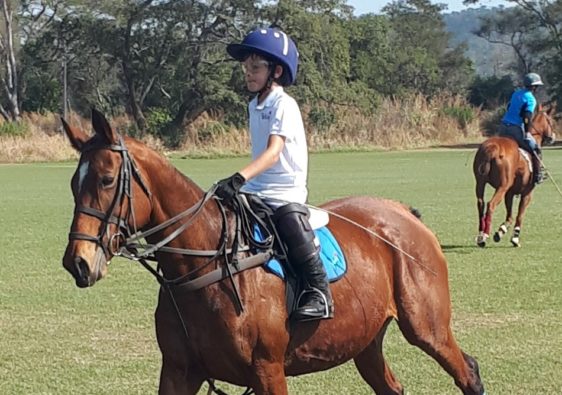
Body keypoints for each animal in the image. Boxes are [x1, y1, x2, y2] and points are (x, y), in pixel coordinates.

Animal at [60, 110, 482, 395]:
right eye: (72, 184)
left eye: (107, 179)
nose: (77, 262)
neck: (204, 268)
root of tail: (405, 213)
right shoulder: (179, 371)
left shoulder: (267, 370)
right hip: (366, 339)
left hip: (427, 328)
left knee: (468, 372)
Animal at [470, 105, 552, 248]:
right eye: (550, 121)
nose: (553, 137)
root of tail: (492, 148)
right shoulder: (527, 193)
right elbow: (519, 216)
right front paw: (515, 238)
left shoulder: (510, 192)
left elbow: (510, 215)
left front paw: (500, 231)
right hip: (502, 186)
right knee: (491, 204)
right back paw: (485, 235)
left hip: (480, 182)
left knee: (480, 203)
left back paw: (480, 236)